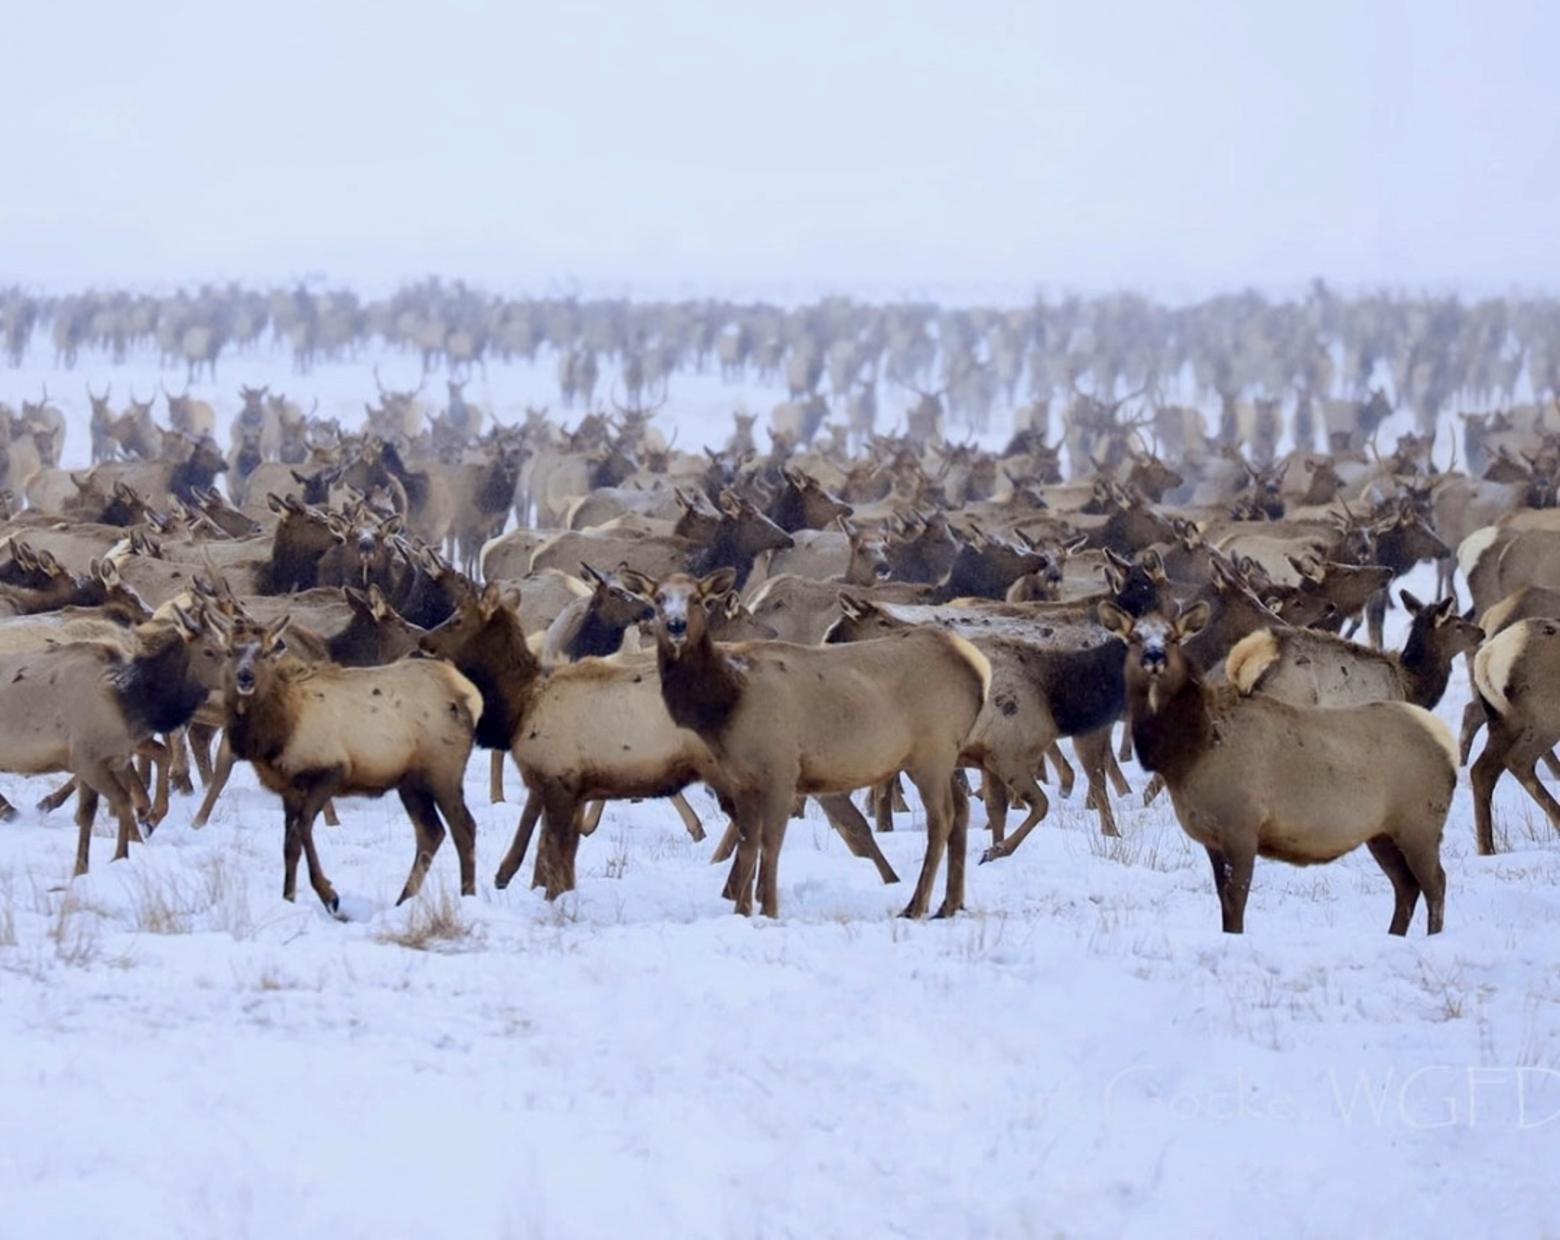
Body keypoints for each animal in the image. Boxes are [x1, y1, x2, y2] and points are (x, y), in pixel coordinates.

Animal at [1104, 605, 1453, 935]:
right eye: (1133, 637)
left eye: (1174, 638)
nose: (1154, 657)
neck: (1191, 754)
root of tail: (1447, 744)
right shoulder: (1211, 838)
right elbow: (1224, 901)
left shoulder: (1242, 827)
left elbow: (1236, 900)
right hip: (1382, 832)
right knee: (1406, 885)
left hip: (1420, 824)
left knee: (1435, 883)